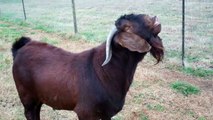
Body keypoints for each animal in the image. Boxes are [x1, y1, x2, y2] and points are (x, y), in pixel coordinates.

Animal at [11, 13, 164, 119]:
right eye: (127, 26)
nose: (152, 17)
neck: (106, 71)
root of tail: (21, 47)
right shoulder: (86, 112)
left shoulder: (107, 113)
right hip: (26, 95)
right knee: (29, 113)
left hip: (38, 97)